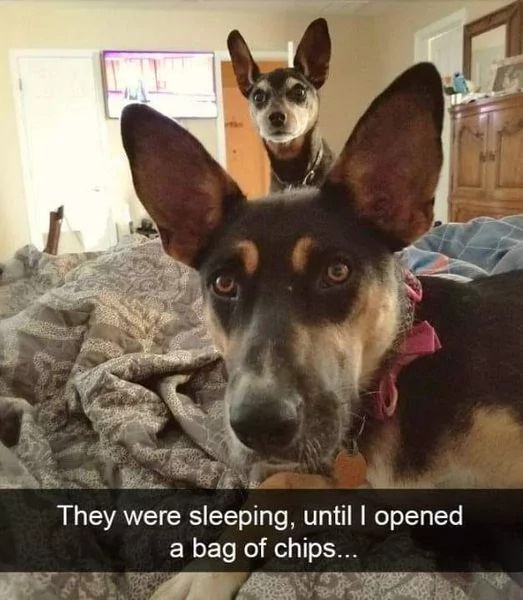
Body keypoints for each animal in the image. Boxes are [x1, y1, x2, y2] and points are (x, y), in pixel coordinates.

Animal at [121, 62, 523, 600]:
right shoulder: (370, 490)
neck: (395, 370)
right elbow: (276, 489)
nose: (260, 426)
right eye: (224, 284)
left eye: (337, 272)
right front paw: (203, 570)